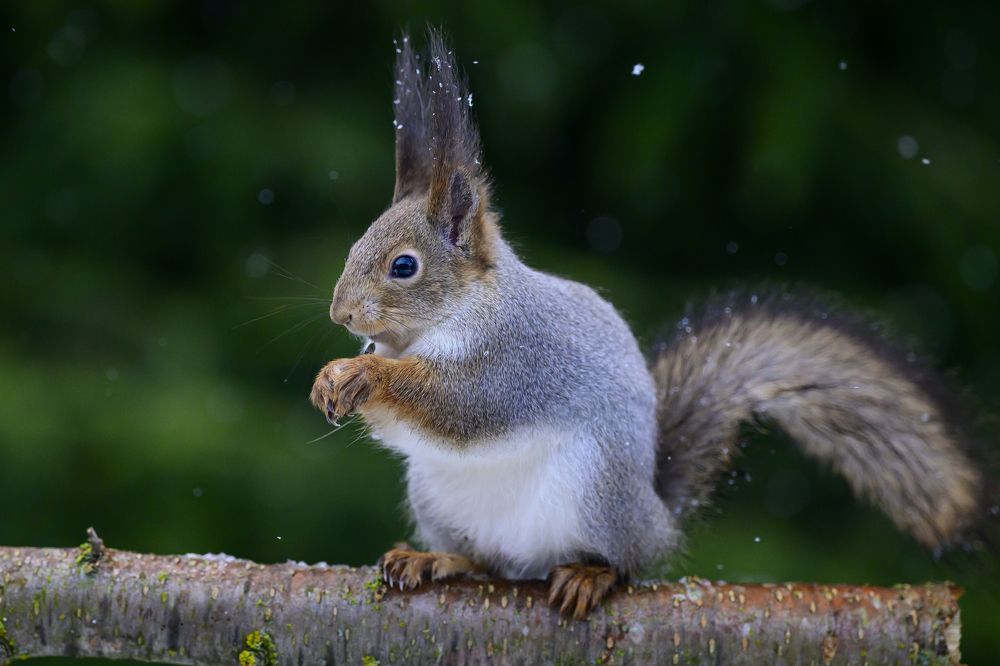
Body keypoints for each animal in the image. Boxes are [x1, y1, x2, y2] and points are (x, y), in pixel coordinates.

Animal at [309, 30, 992, 620]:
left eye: (404, 266)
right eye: (355, 244)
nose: (340, 314)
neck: (448, 319)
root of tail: (654, 515)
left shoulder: (518, 358)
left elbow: (459, 406)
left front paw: (365, 375)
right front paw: (330, 377)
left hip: (597, 490)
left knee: (626, 563)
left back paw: (592, 574)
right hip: (438, 498)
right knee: (487, 560)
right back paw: (436, 559)